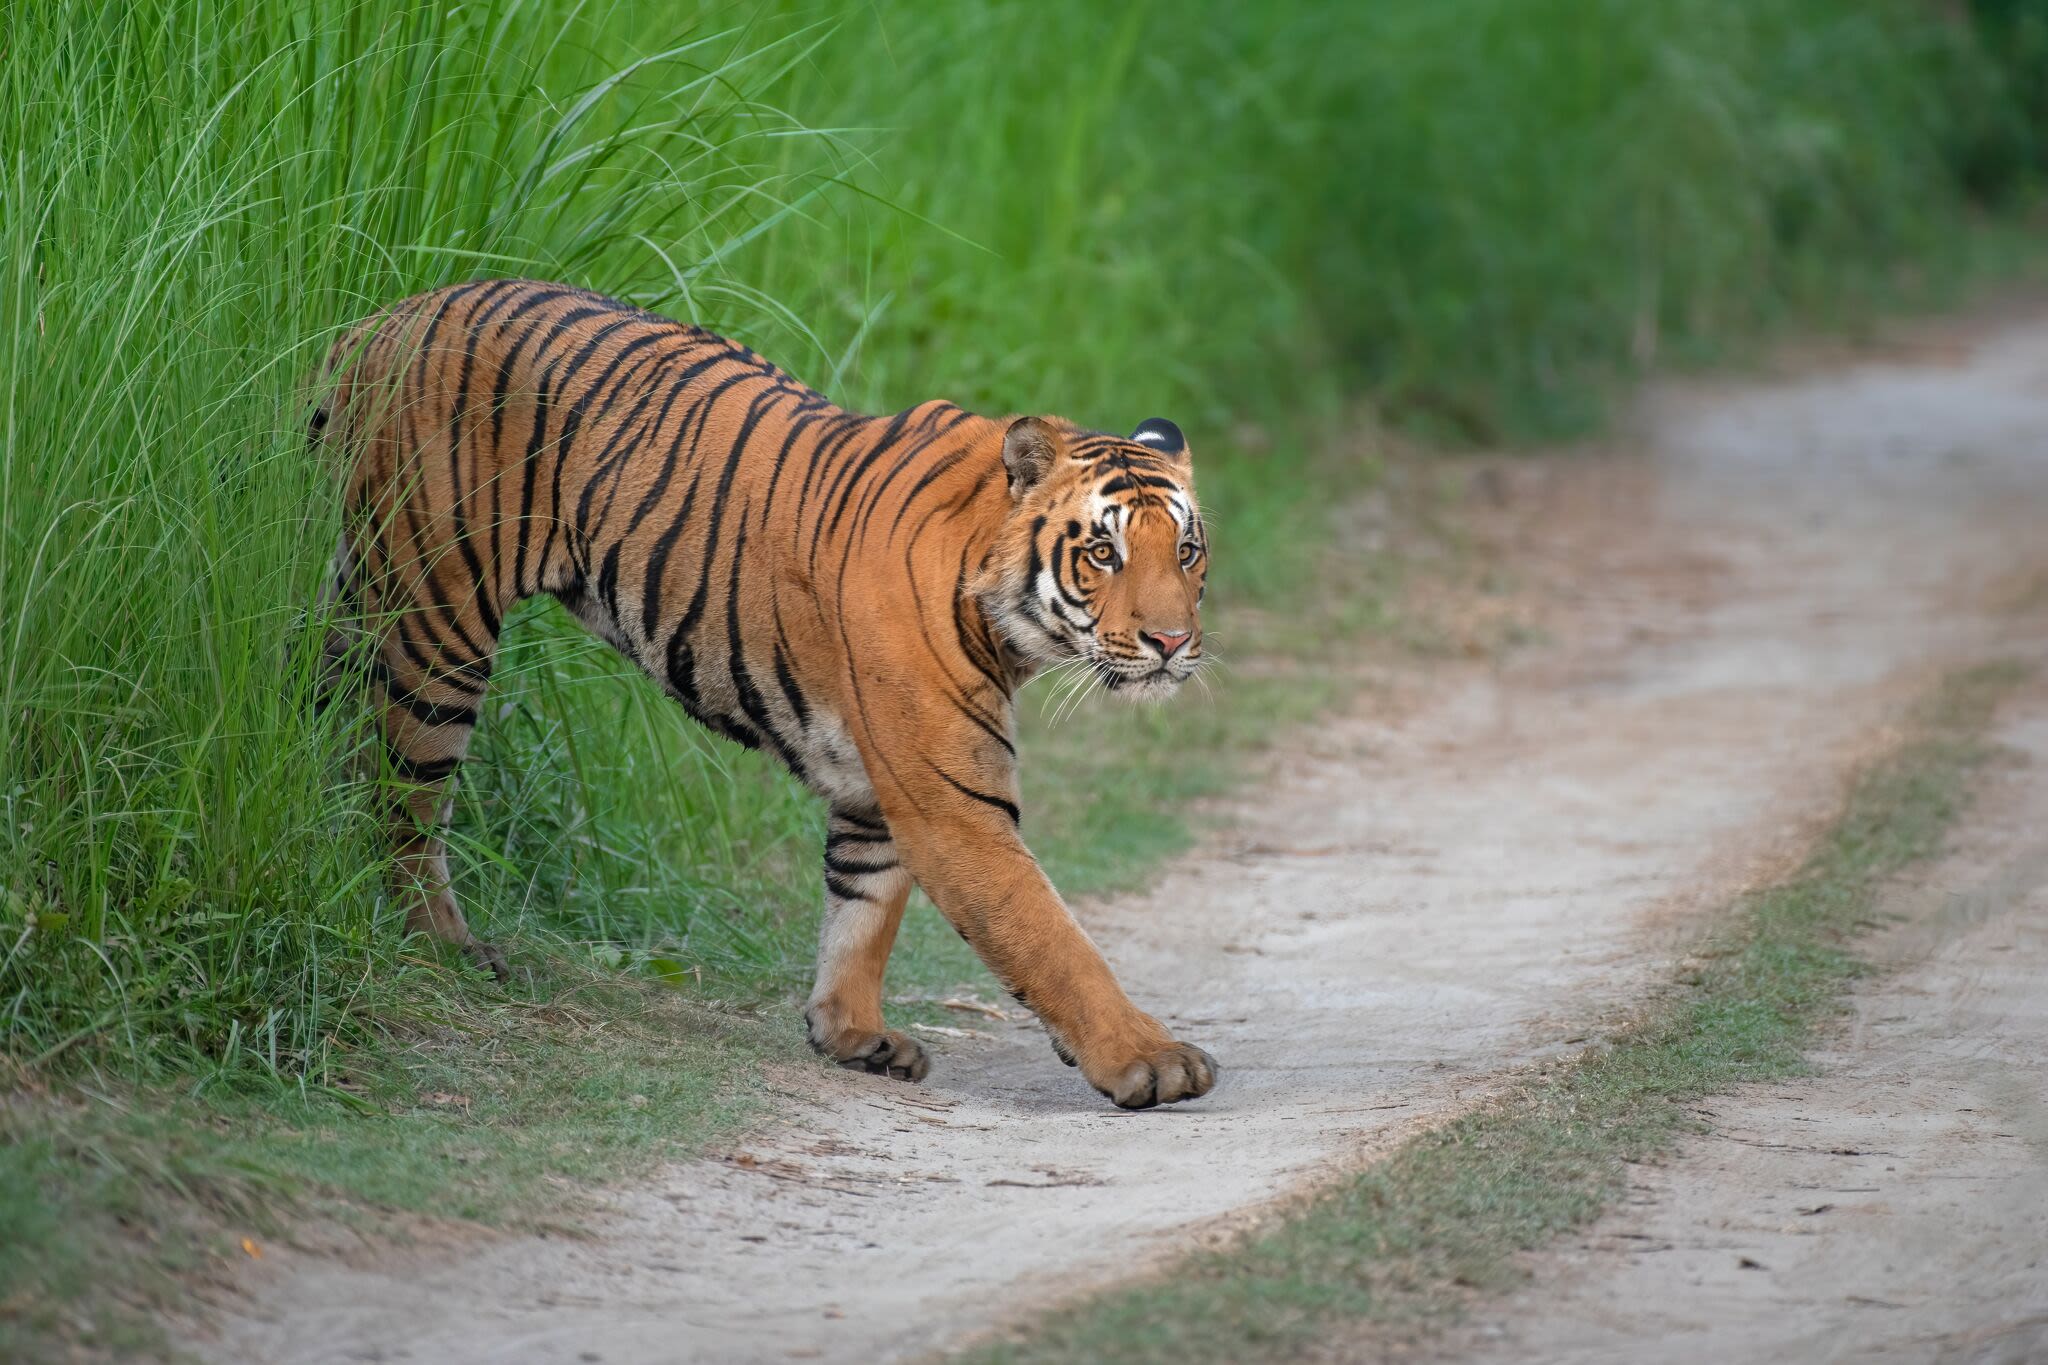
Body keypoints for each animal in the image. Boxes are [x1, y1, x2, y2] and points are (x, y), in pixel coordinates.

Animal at [315, 278, 1212, 1113]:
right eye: (1103, 552)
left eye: (1187, 551)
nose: (1171, 642)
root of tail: (382, 321)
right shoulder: (955, 806)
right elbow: (1051, 937)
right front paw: (1151, 1058)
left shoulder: (879, 787)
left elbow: (862, 904)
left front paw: (850, 1032)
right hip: (434, 624)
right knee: (404, 802)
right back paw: (447, 945)